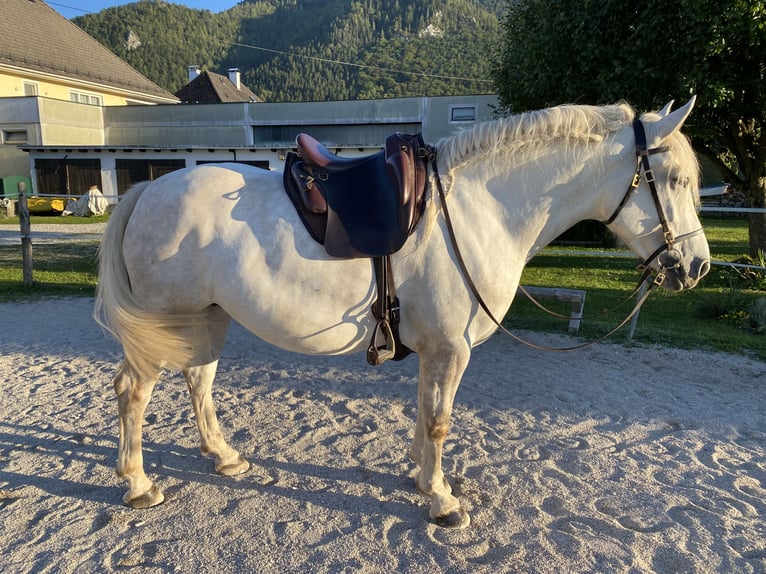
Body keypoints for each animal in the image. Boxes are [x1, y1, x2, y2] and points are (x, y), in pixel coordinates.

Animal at [95, 97, 710, 529]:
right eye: (675, 180)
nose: (697, 266)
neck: (480, 209)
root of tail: (147, 192)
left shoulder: (438, 349)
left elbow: (424, 414)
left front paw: (421, 479)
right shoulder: (451, 348)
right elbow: (439, 420)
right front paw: (442, 500)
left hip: (207, 318)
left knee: (199, 380)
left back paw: (223, 457)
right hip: (164, 328)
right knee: (133, 393)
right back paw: (138, 484)